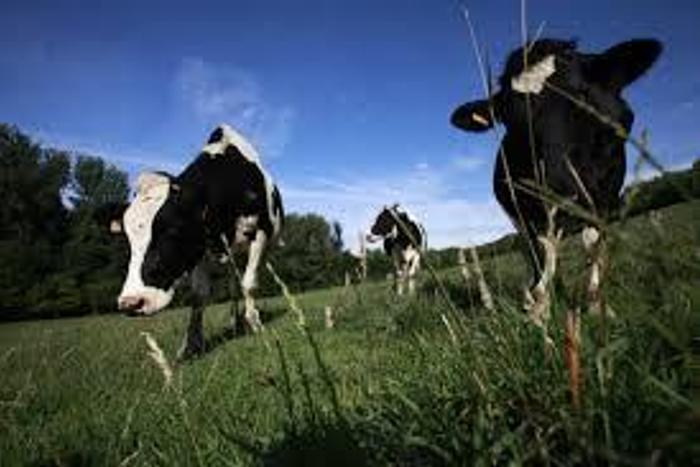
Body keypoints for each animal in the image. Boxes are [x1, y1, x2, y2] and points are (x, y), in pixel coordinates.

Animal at [107, 124, 283, 359]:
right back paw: (234, 322)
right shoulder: (199, 248)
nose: (131, 303)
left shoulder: (260, 233)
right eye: (128, 238)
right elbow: (199, 296)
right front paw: (191, 345)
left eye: (173, 229)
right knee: (233, 286)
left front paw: (255, 323)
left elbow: (249, 283)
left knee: (242, 282)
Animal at [450, 38, 662, 324]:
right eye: (509, 119)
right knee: (534, 252)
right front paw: (539, 309)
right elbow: (543, 253)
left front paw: (596, 305)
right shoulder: (531, 210)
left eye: (584, 97)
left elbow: (593, 244)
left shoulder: (604, 199)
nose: (558, 191)